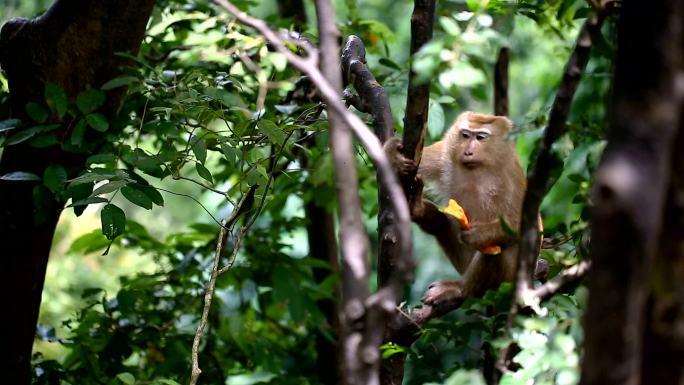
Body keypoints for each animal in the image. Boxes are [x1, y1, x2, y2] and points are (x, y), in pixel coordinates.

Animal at [384, 110, 536, 306]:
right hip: (464, 262)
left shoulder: (511, 173)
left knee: (497, 250)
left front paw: (479, 234)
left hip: (507, 279)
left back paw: (460, 289)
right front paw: (394, 155)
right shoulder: (445, 152)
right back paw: (417, 208)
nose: (468, 151)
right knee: (441, 224)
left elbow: (526, 225)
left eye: (480, 137)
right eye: (465, 135)